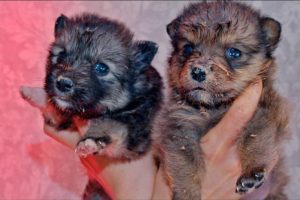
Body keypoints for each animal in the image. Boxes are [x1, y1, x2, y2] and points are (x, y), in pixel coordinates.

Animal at [44, 12, 162, 159]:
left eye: (101, 68)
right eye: (61, 55)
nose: (63, 83)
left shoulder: (133, 121)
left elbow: (109, 124)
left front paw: (91, 140)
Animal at [158, 1, 290, 200]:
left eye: (234, 52)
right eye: (188, 48)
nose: (198, 71)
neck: (214, 107)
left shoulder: (261, 112)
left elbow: (255, 139)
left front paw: (252, 171)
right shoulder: (180, 127)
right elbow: (186, 165)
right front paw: (187, 193)